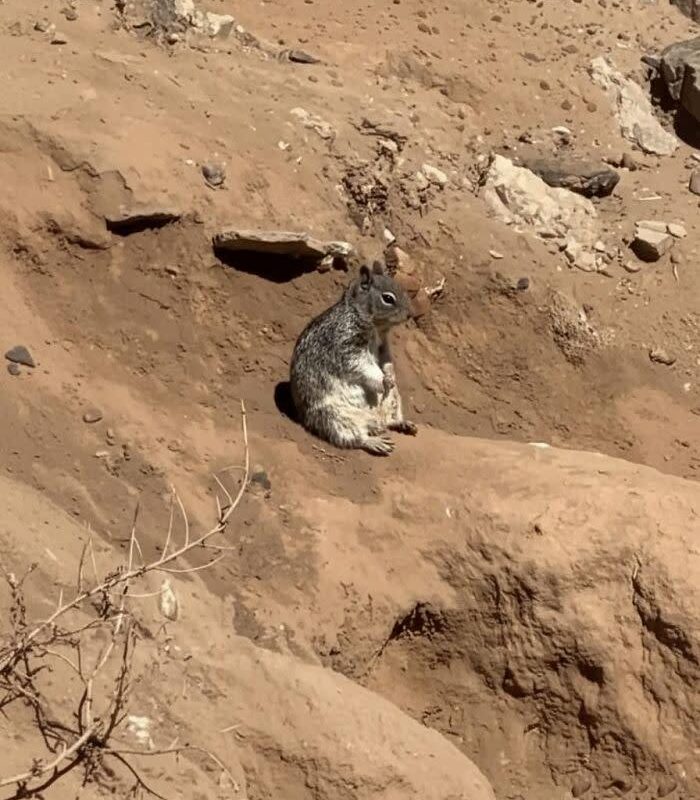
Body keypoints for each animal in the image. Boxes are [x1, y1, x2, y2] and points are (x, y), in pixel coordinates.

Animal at [290, 261, 417, 455]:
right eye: (388, 298)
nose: (410, 314)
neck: (377, 328)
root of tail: (374, 421)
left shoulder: (384, 346)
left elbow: (387, 361)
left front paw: (390, 375)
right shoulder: (346, 345)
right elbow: (361, 365)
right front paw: (382, 379)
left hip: (393, 400)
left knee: (390, 421)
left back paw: (403, 423)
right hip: (334, 417)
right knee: (355, 438)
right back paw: (374, 442)